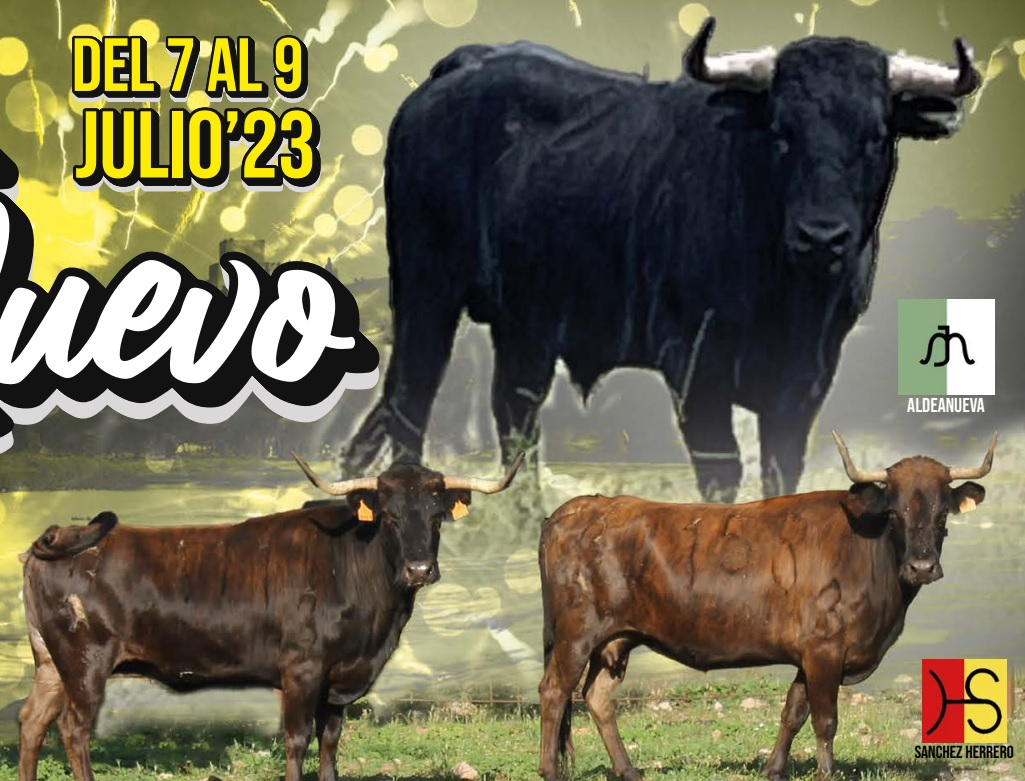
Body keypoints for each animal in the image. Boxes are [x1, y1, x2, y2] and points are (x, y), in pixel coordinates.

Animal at [16, 453, 522, 781]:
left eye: (437, 517)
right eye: (390, 518)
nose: (419, 569)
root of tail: (62, 533)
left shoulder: (337, 683)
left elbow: (330, 743)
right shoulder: (301, 670)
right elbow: (297, 740)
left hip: (51, 665)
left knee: (32, 722)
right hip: (85, 662)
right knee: (74, 729)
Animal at [340, 18, 979, 502]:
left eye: (875, 136)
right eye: (781, 132)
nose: (822, 237)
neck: (786, 299)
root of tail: (463, 66)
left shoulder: (808, 379)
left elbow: (781, 470)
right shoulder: (694, 367)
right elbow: (722, 471)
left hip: (527, 325)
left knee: (512, 414)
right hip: (426, 292)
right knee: (412, 400)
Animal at [536, 433, 997, 781]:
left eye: (942, 514)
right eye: (896, 512)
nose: (922, 567)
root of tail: (574, 508)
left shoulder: (809, 654)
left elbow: (793, 712)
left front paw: (775, 769)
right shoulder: (825, 650)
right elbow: (825, 720)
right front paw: (826, 773)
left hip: (616, 639)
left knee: (596, 697)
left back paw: (629, 771)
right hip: (576, 634)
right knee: (554, 691)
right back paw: (550, 771)